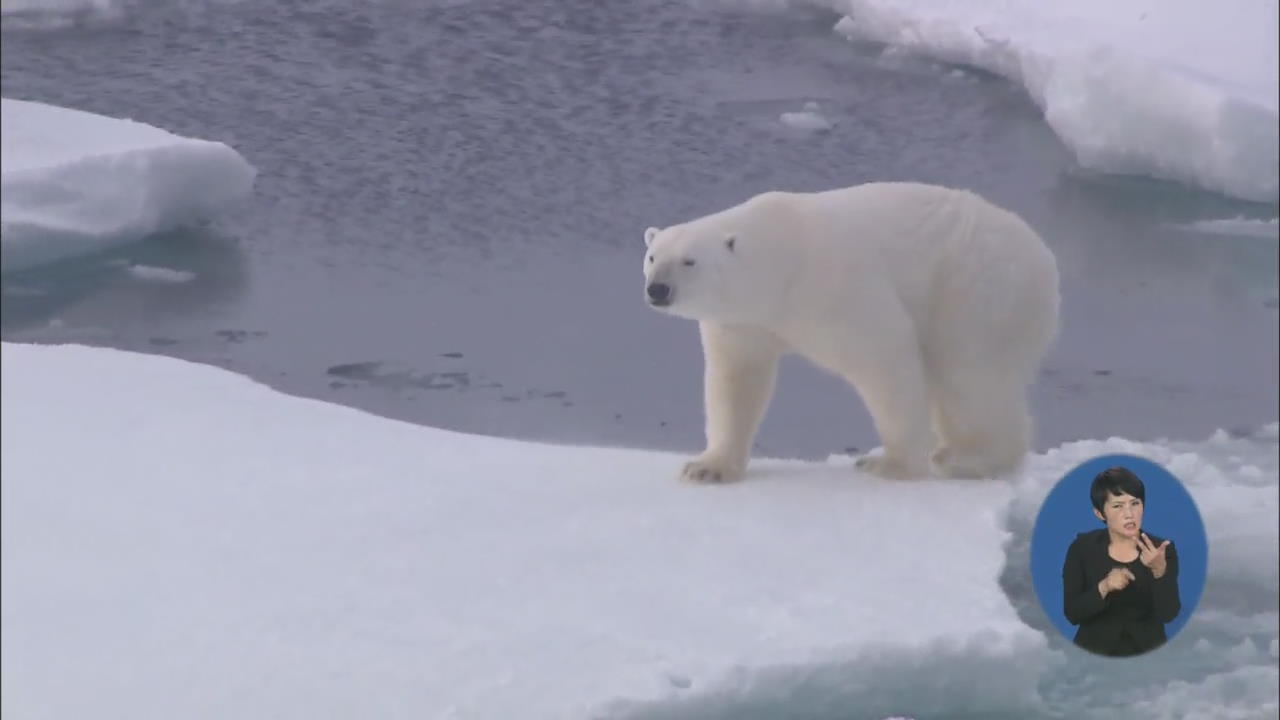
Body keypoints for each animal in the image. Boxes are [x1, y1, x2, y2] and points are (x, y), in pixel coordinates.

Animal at [640, 179, 1059, 481]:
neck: (782, 260)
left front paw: (891, 464)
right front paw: (707, 467)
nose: (657, 289)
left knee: (970, 376)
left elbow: (886, 359)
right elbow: (736, 383)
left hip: (975, 288)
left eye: (689, 261)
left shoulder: (836, 288)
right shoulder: (743, 323)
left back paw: (967, 459)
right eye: (652, 256)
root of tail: (1043, 257)